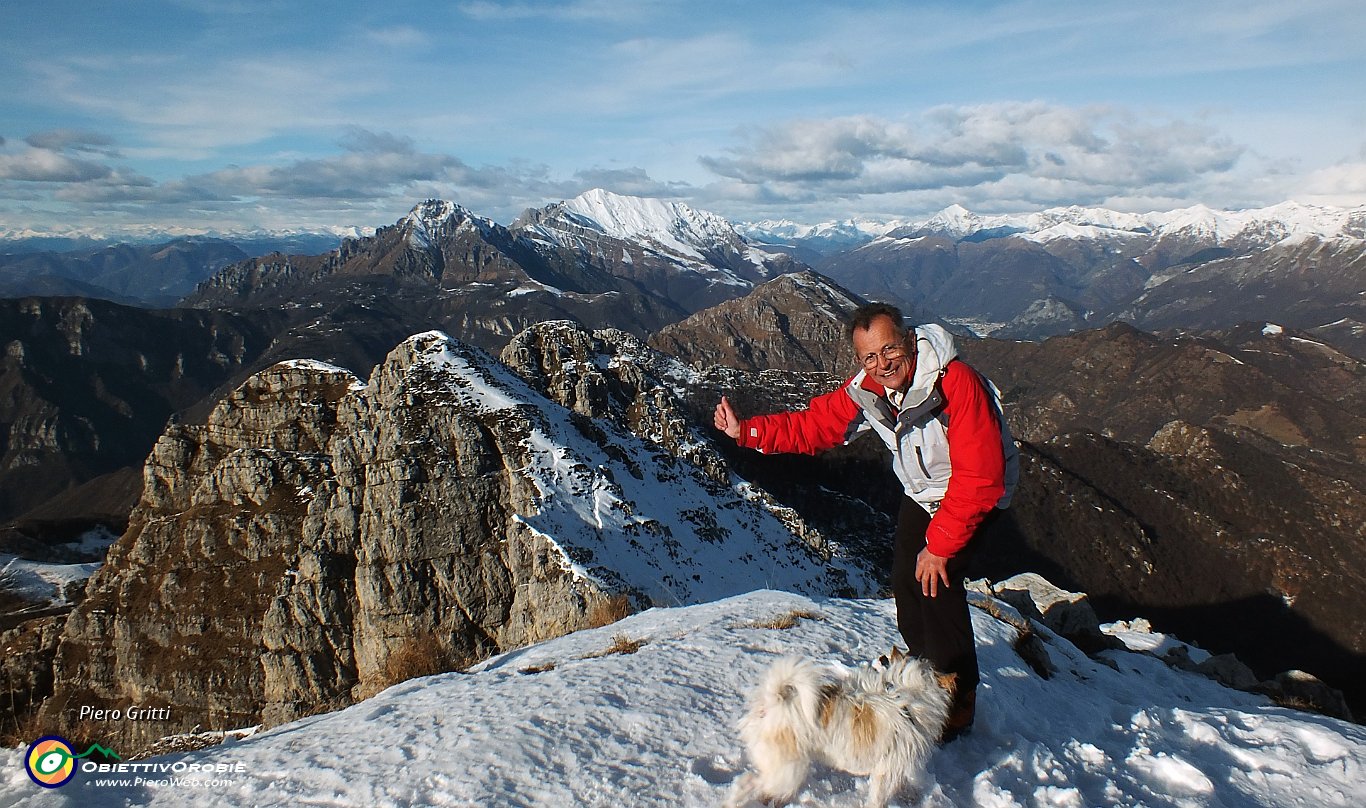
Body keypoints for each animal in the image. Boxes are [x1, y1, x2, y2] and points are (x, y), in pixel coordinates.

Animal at [726, 649, 950, 808]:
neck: (905, 696)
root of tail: (774, 703)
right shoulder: (887, 772)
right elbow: (878, 799)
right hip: (787, 771)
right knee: (749, 782)